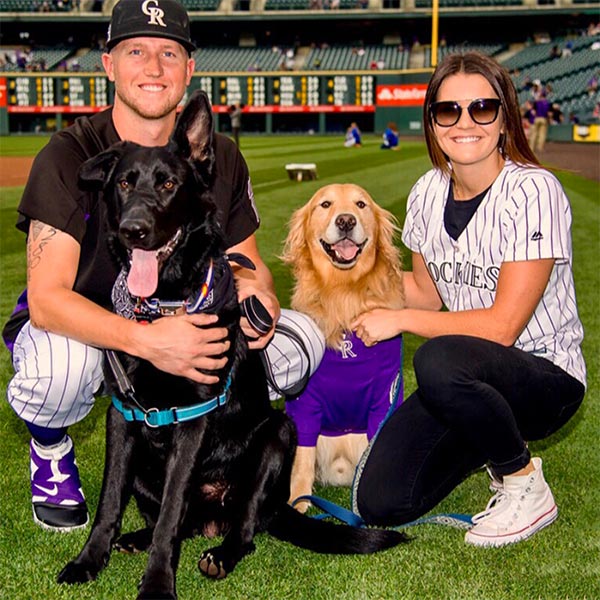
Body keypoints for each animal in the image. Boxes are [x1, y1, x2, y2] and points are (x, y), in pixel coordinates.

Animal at [57, 90, 408, 600]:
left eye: (168, 184)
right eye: (124, 182)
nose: (133, 229)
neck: (166, 303)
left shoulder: (193, 419)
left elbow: (171, 511)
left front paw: (158, 583)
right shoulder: (122, 416)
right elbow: (109, 500)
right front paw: (89, 560)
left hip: (278, 434)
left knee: (240, 527)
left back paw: (222, 552)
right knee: (176, 518)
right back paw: (139, 537)